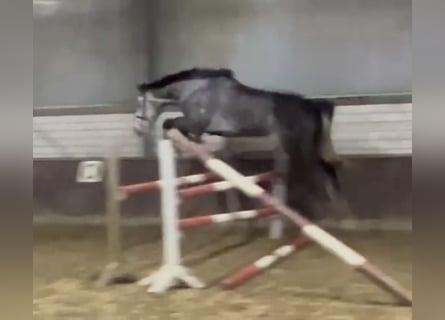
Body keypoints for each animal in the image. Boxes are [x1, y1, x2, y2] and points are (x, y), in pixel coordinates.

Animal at [134, 66, 342, 219]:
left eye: (139, 104)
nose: (137, 130)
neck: (194, 90)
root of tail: (311, 106)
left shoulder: (195, 123)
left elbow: (171, 123)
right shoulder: (204, 128)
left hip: (303, 145)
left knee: (321, 171)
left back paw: (331, 207)